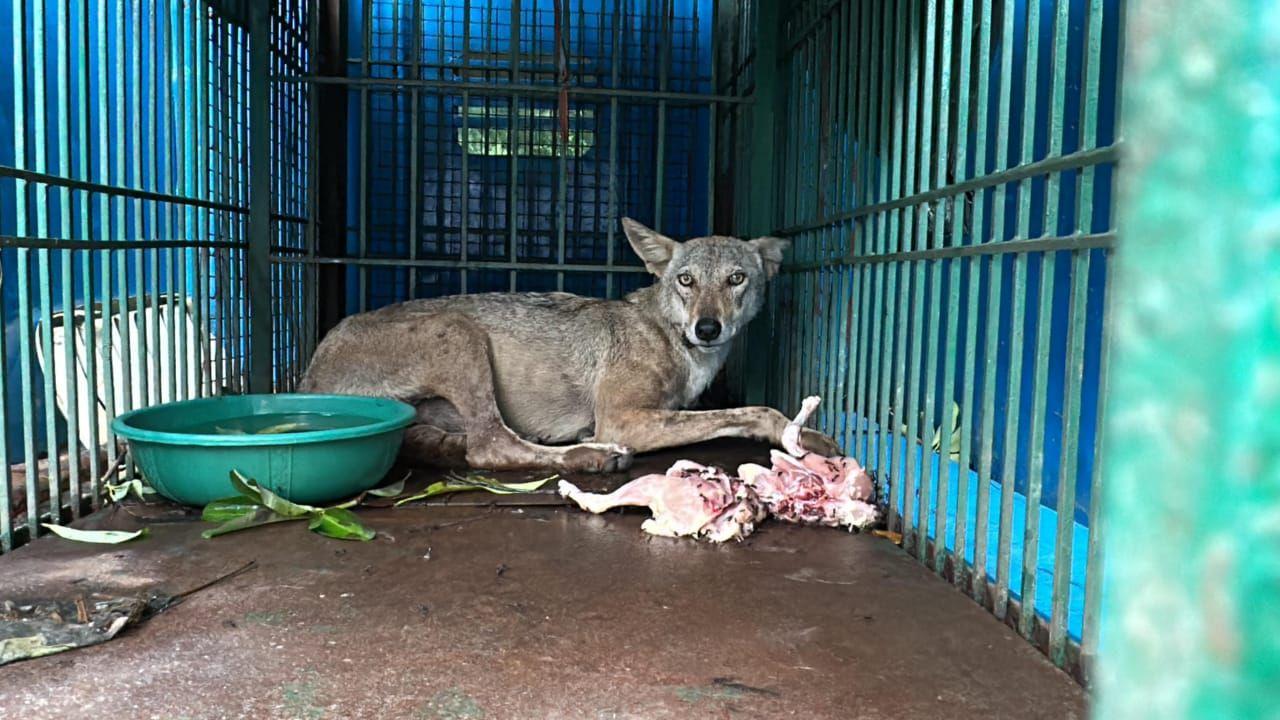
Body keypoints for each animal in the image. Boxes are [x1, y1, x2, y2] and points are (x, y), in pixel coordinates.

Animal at [295, 217, 844, 471]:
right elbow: (754, 411)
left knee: (466, 444)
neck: (673, 341)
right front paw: (798, 435)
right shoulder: (624, 420)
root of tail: (308, 374)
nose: (707, 329)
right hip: (458, 331)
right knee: (490, 449)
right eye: (686, 280)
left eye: (736, 279)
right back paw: (592, 457)